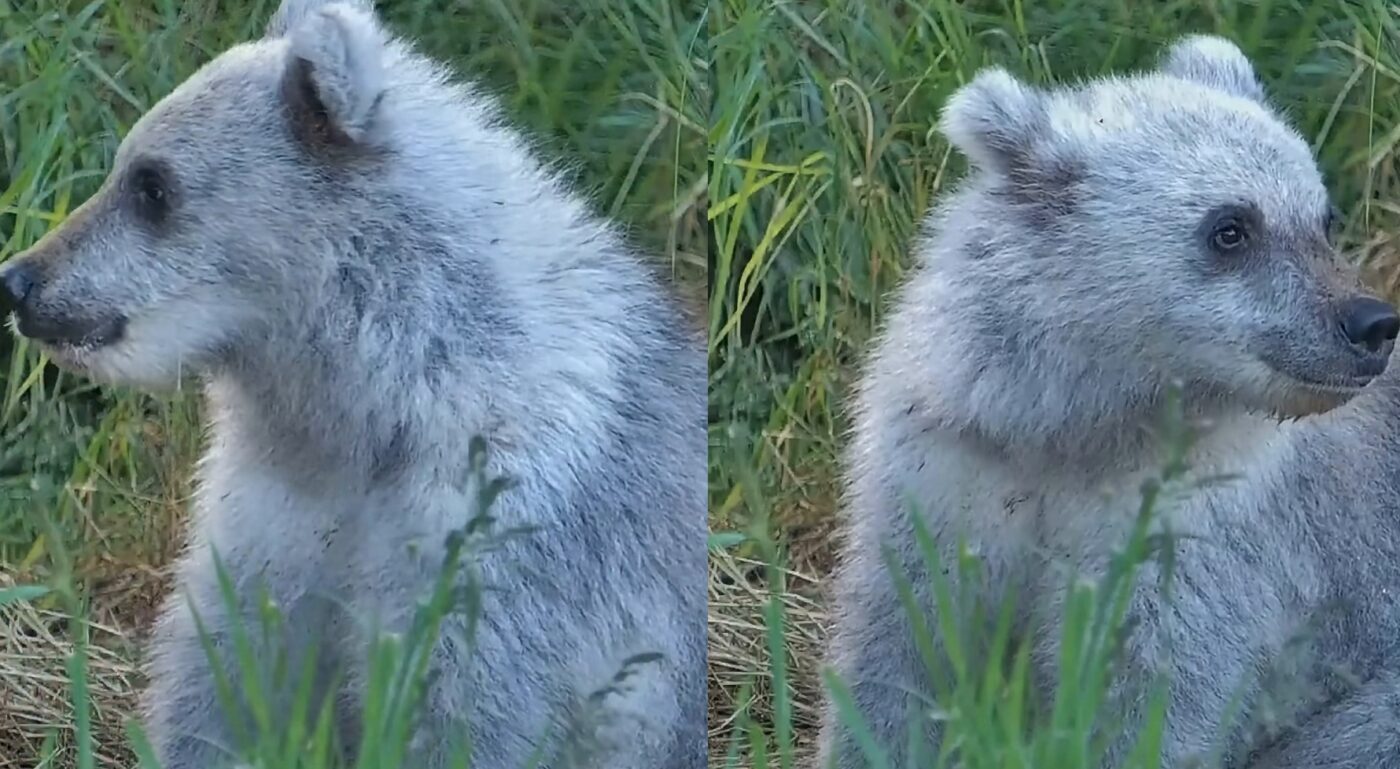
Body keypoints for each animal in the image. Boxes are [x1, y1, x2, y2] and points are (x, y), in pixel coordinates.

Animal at [0, 1, 705, 767]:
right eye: (127, 168)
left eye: (152, 185)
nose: (18, 280)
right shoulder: (268, 514)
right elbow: (225, 683)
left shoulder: (500, 533)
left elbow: (463, 710)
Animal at [816, 34, 1400, 769]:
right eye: (1231, 227)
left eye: (1321, 217)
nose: (1371, 323)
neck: (1079, 424)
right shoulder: (945, 472)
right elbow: (900, 655)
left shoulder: (1210, 530)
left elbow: (1152, 692)